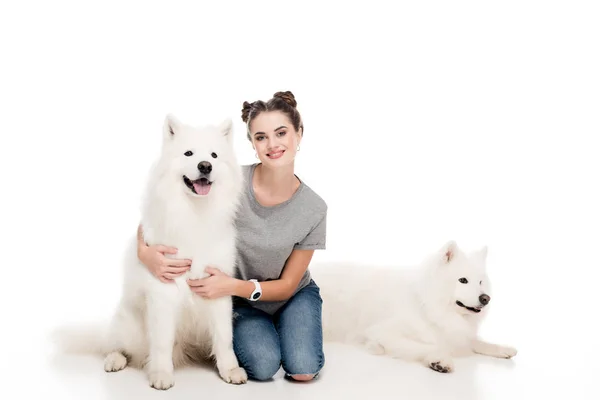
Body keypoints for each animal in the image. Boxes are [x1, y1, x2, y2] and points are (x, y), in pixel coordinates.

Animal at [52, 114, 246, 390]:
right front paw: (162, 375)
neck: (195, 214)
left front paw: (230, 370)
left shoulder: (217, 288)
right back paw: (115, 360)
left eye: (214, 155)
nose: (205, 166)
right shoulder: (163, 292)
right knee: (114, 346)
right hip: (129, 327)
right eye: (188, 153)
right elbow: (162, 342)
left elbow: (224, 338)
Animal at [314, 239, 516, 374]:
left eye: (481, 282)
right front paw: (439, 360)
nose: (486, 298)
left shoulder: (456, 333)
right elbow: (431, 346)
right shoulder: (384, 332)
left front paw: (502, 349)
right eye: (463, 280)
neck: (427, 305)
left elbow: (475, 341)